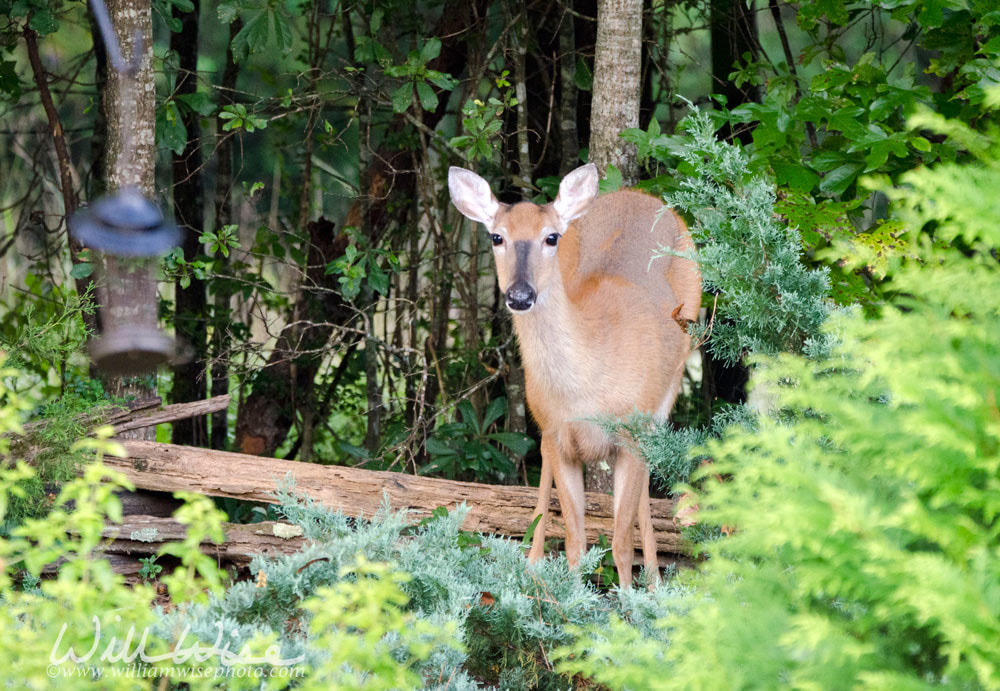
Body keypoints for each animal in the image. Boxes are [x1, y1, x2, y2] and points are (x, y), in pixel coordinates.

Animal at [450, 164, 700, 588]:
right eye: (497, 236)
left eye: (550, 236)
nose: (520, 295)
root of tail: (641, 195)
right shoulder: (557, 435)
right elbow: (575, 540)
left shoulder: (630, 433)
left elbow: (620, 542)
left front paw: (629, 601)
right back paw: (532, 562)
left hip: (676, 371)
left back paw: (654, 579)